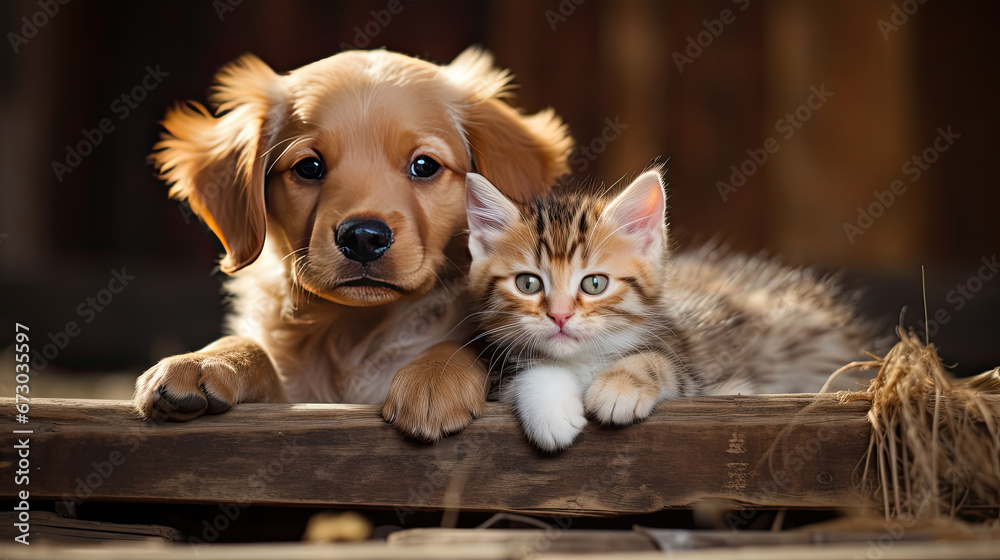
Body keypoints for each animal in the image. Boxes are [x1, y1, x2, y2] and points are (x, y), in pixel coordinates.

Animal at [133, 48, 572, 442]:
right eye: (309, 167)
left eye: (424, 165)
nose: (363, 237)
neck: (353, 332)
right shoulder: (293, 396)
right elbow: (253, 348)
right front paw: (206, 359)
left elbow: (469, 344)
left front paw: (434, 375)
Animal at [466, 170, 876, 450]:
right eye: (528, 284)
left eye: (594, 284)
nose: (560, 316)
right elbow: (527, 372)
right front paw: (550, 410)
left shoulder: (698, 364)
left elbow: (664, 363)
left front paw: (619, 387)